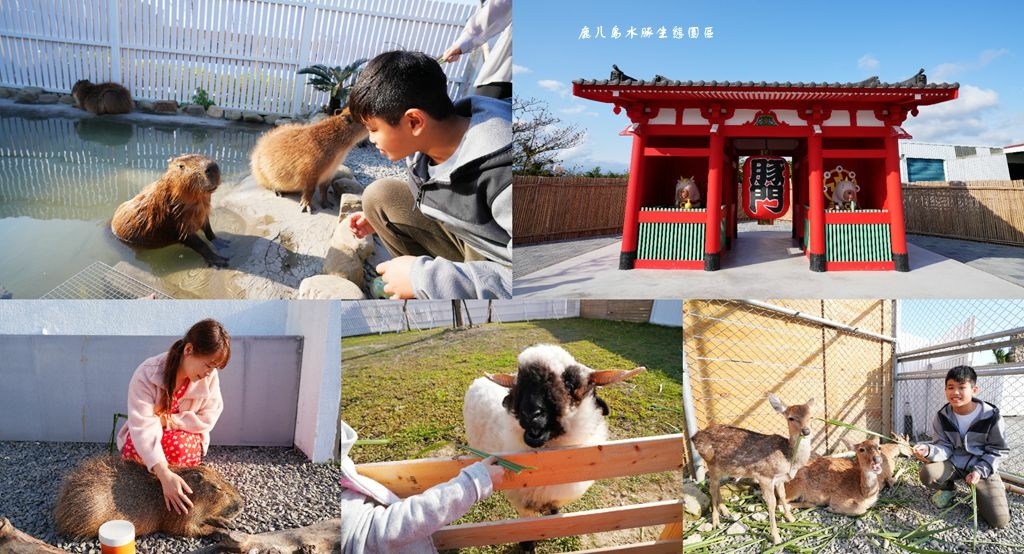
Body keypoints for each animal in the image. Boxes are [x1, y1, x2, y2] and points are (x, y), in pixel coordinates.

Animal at [462, 344, 638, 544]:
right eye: (519, 386)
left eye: (570, 384)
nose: (531, 414)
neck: (549, 462)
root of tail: (477, 381)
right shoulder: (522, 503)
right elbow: (525, 526)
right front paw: (527, 545)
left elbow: (553, 511)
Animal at [688, 393, 815, 544]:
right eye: (791, 418)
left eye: (811, 416)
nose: (806, 431)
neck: (788, 457)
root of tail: (695, 437)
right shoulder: (764, 476)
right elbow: (772, 503)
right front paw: (776, 537)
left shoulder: (779, 479)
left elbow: (783, 496)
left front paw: (791, 518)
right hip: (711, 464)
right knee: (711, 489)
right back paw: (716, 522)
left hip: (722, 469)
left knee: (716, 487)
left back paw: (726, 511)